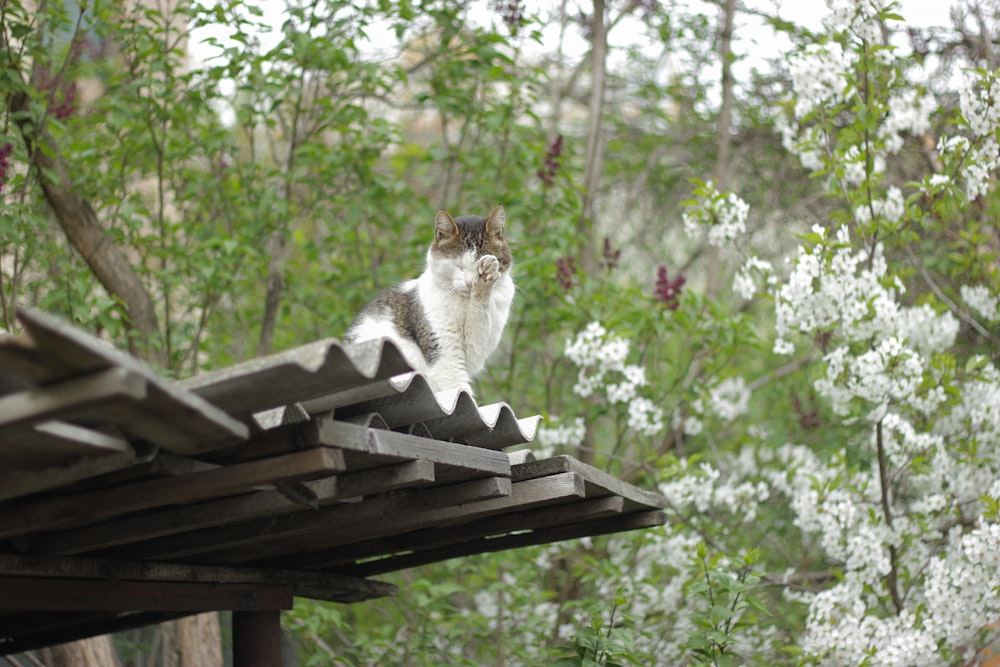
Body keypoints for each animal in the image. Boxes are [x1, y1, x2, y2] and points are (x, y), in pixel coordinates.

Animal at [346, 206, 516, 396]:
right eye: (458, 265)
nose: (470, 283)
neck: (465, 303)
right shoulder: (443, 349)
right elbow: (457, 385)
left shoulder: (478, 345)